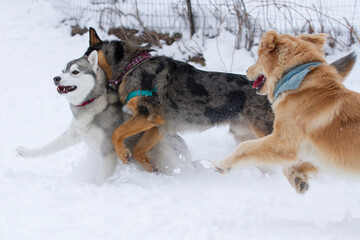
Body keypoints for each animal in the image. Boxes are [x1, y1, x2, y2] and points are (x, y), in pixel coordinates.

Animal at [214, 29, 360, 191]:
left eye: (258, 57)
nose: (246, 70)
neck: (295, 77)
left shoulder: (284, 141)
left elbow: (245, 146)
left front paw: (223, 165)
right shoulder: (318, 155)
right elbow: (295, 166)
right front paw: (297, 178)